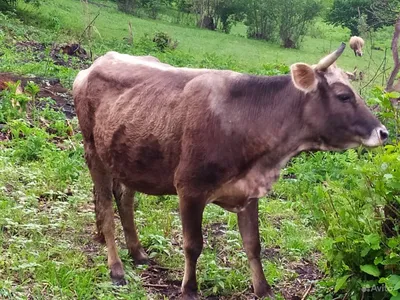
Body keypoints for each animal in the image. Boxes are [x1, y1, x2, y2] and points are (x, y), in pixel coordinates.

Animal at [72, 42, 388, 300]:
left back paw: (137, 252)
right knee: (105, 207)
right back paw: (116, 267)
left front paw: (263, 289)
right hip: (92, 150)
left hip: (127, 157)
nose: (383, 132)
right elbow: (193, 245)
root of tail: (91, 67)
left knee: (124, 199)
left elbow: (253, 244)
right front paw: (189, 289)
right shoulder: (190, 188)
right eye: (344, 96)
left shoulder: (249, 189)